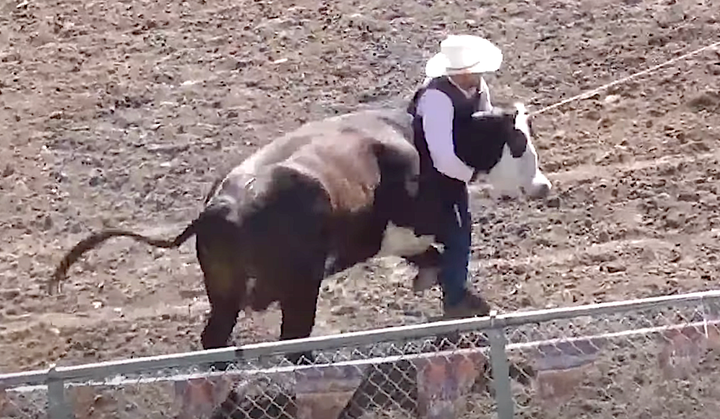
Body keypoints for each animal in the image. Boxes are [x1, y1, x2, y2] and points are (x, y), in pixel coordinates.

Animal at [49, 103, 552, 366]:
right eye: (519, 141)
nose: (543, 186)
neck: (420, 141)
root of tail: (219, 210)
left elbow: (431, 258)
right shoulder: (416, 223)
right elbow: (442, 253)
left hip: (226, 293)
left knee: (215, 336)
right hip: (299, 285)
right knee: (293, 337)